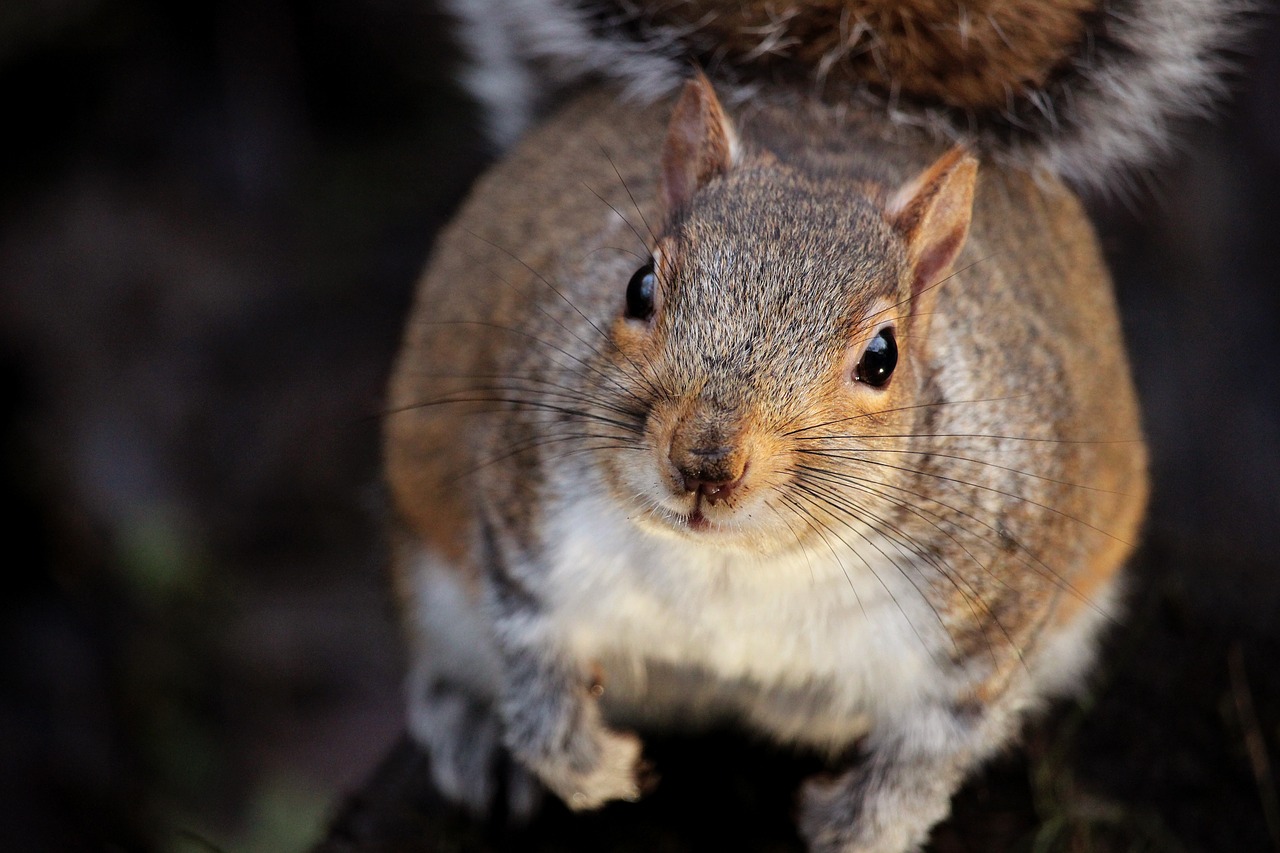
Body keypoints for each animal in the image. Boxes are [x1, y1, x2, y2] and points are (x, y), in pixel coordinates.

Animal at [381, 1, 1239, 850]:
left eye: (883, 357)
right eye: (639, 285)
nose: (705, 461)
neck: (737, 566)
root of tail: (834, 96)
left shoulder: (987, 619)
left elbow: (933, 748)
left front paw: (856, 825)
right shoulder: (526, 513)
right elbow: (532, 657)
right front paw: (586, 764)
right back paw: (475, 734)